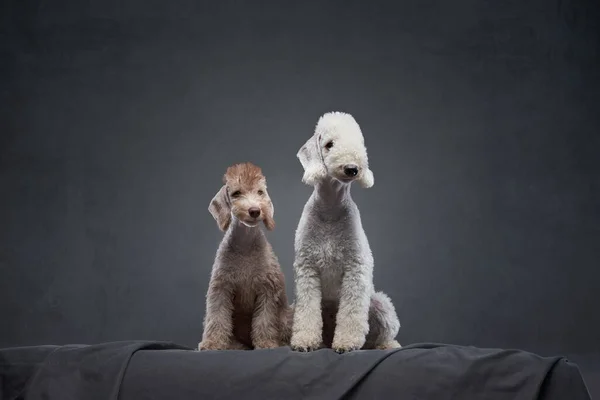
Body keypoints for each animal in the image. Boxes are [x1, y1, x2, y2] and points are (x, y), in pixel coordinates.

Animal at [198, 162, 292, 350]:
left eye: (260, 192)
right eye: (236, 193)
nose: (255, 210)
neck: (245, 244)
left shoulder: (267, 288)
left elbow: (264, 319)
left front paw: (265, 343)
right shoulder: (221, 286)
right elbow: (216, 316)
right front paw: (212, 342)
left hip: (286, 317)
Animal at [290, 111, 400, 352]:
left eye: (359, 144)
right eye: (329, 144)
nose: (352, 168)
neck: (331, 208)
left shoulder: (355, 269)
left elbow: (351, 312)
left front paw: (347, 343)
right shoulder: (307, 269)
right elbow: (307, 312)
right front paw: (304, 341)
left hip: (380, 304)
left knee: (383, 333)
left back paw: (386, 345)